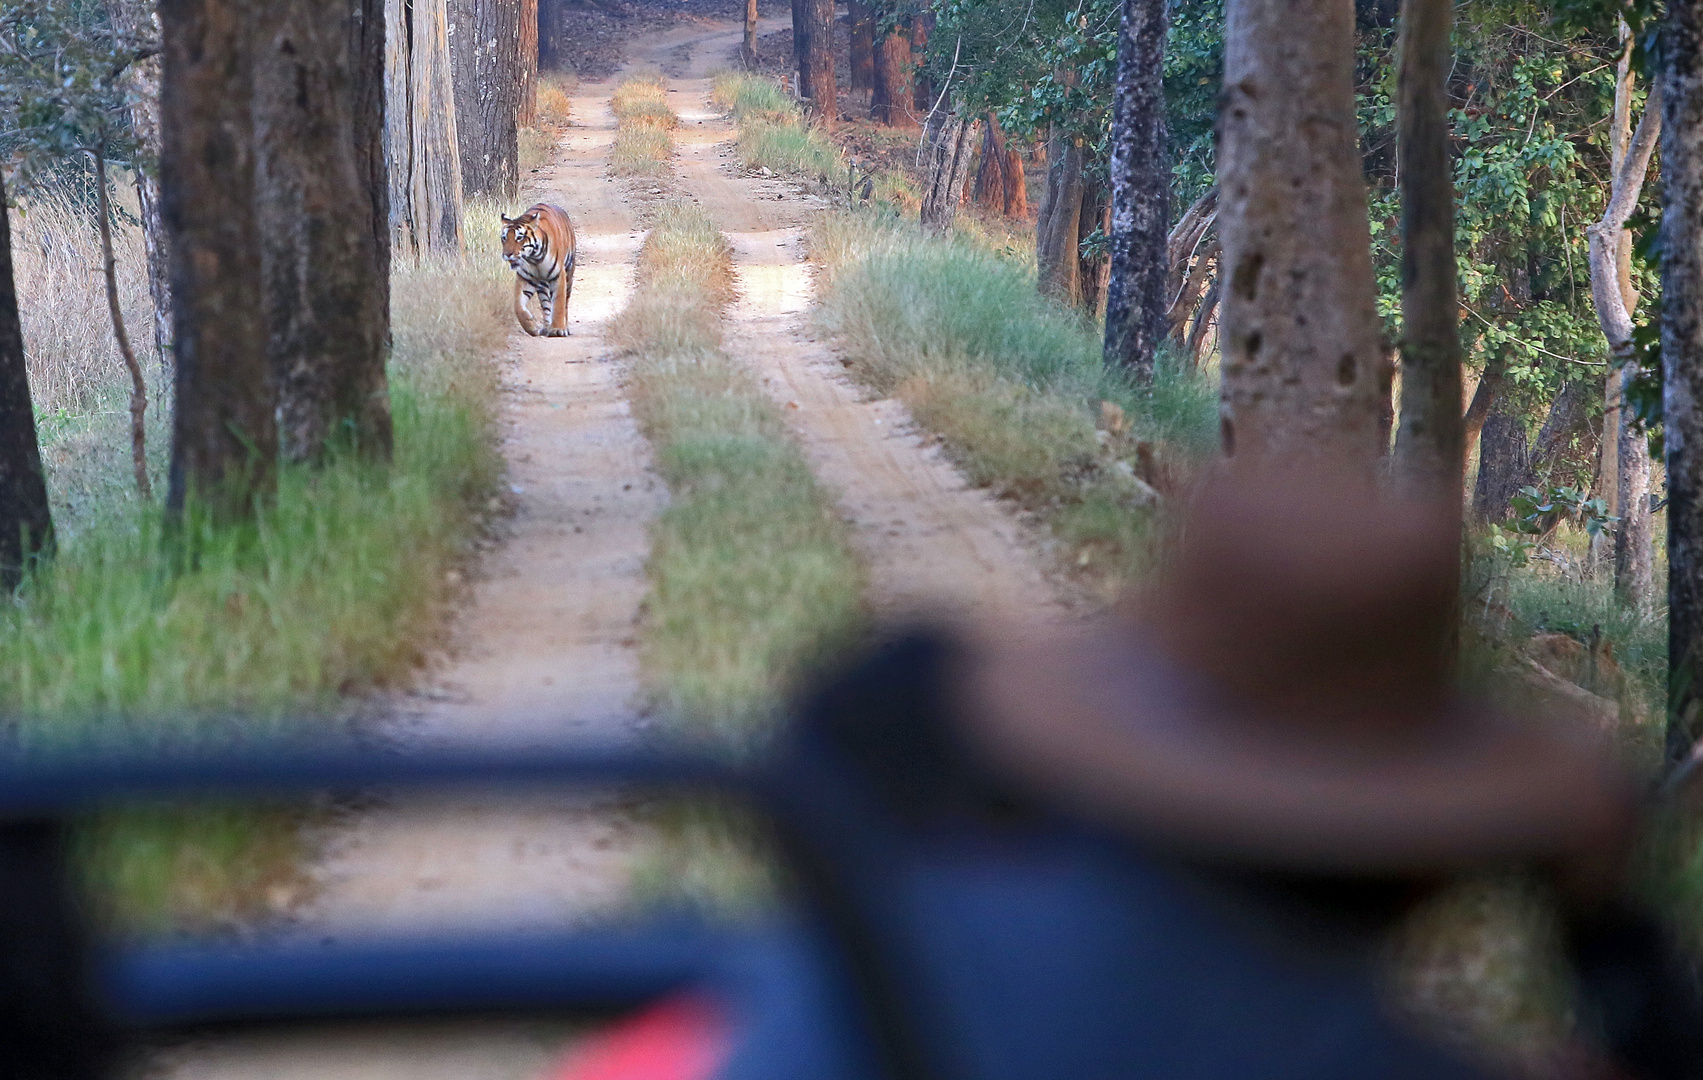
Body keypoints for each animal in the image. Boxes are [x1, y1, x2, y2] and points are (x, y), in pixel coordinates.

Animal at [497, 201, 579, 337]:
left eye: (519, 238)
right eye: (504, 238)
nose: (507, 254)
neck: (534, 258)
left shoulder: (558, 276)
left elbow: (559, 303)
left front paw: (557, 329)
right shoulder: (525, 278)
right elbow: (518, 305)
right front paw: (531, 326)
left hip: (569, 273)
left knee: (565, 303)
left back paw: (563, 327)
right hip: (542, 285)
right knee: (546, 305)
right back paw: (546, 328)